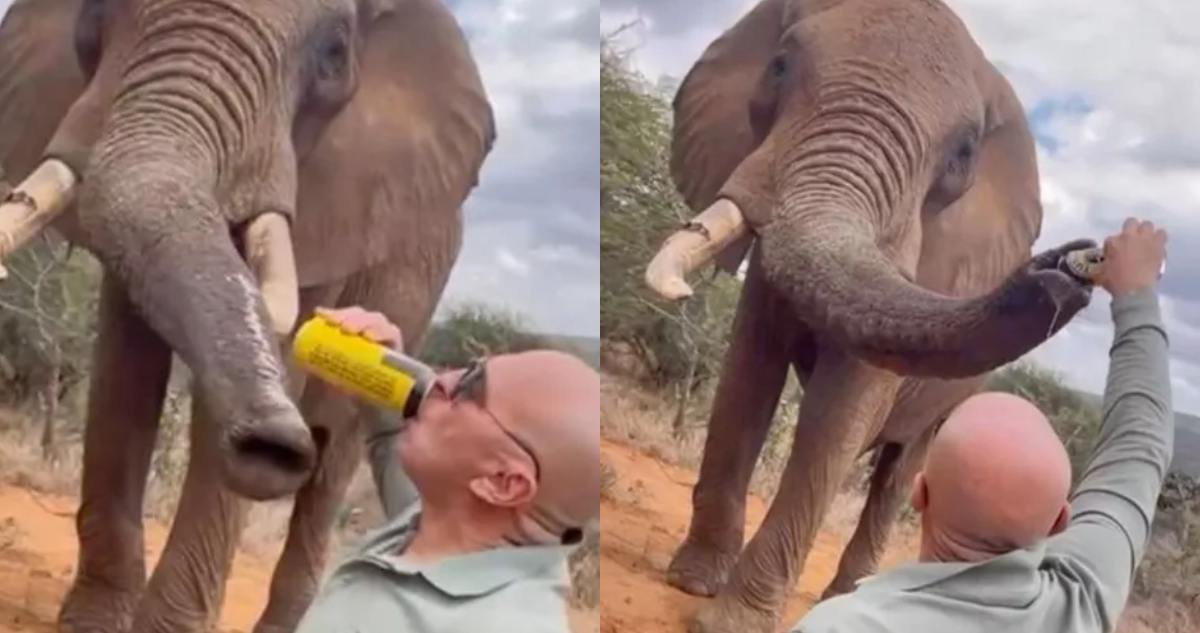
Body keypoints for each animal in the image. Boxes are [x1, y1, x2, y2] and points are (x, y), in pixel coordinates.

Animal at [0, 0, 494, 631]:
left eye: (335, 54)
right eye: (94, 14)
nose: (274, 440)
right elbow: (125, 367)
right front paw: (93, 624)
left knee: (334, 458)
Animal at [641, 0, 1095, 632]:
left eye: (963, 154)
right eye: (778, 67)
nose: (1074, 264)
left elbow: (841, 409)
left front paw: (731, 621)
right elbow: (749, 374)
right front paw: (692, 582)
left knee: (902, 469)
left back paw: (857, 592)